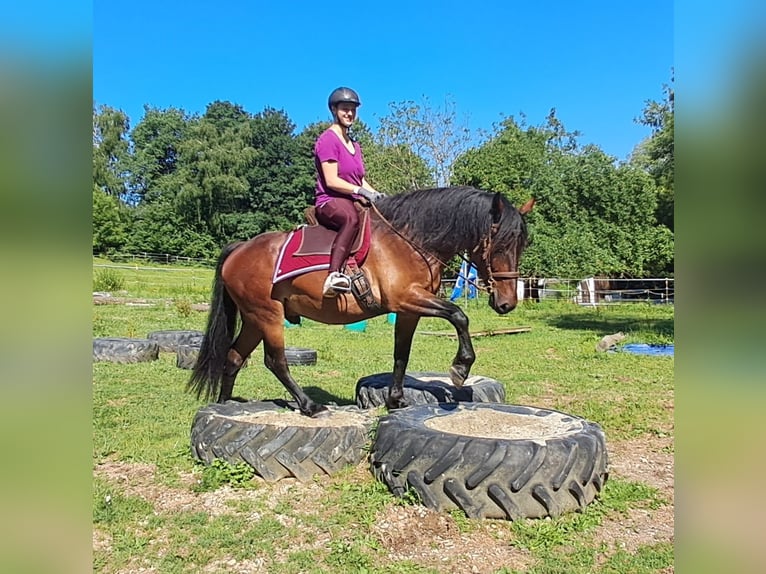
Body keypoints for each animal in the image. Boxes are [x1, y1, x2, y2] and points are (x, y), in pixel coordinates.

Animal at [188, 185, 534, 417]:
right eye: (500, 244)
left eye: (522, 244)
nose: (507, 303)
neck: (409, 241)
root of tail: (240, 248)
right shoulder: (408, 299)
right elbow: (459, 315)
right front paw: (460, 368)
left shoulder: (408, 310)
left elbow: (401, 355)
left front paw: (395, 400)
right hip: (268, 316)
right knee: (275, 361)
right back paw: (309, 405)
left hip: (253, 319)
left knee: (234, 357)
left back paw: (224, 405)